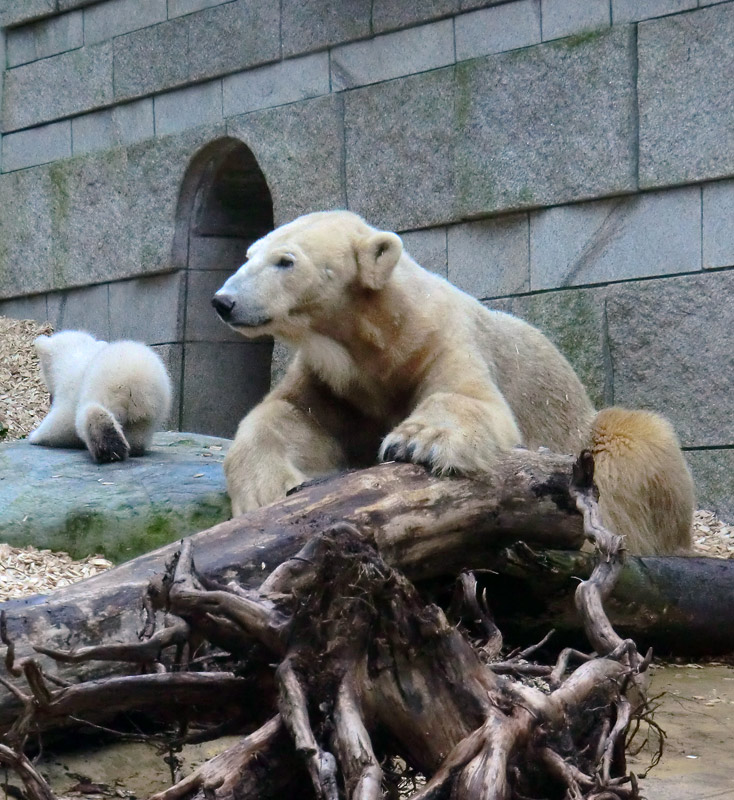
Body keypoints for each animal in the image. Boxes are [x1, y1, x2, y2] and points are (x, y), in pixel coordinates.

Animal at [214, 209, 696, 552]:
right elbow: (288, 415)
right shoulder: (333, 381)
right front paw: (264, 491)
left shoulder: (440, 341)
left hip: (590, 437)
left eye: (286, 261)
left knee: (635, 443)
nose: (224, 301)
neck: (379, 337)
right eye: (249, 256)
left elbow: (471, 398)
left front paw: (417, 442)